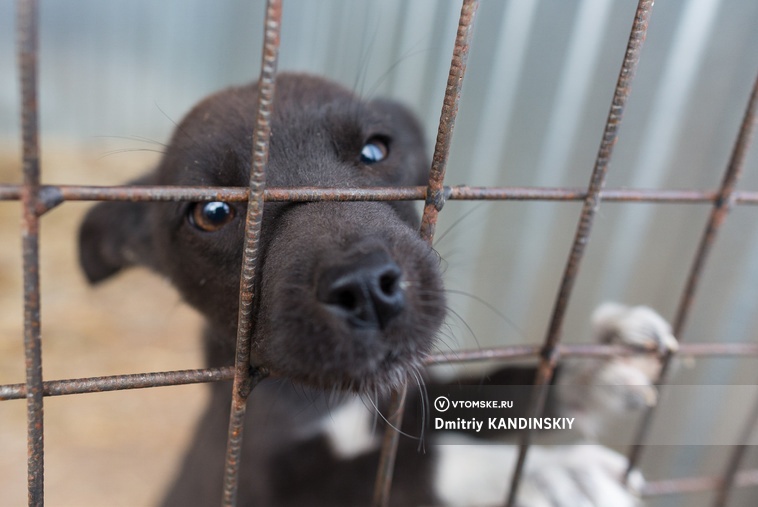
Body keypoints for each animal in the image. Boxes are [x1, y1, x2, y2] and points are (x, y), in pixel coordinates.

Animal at [80, 73, 672, 506]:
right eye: (214, 213)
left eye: (374, 151)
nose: (367, 287)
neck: (338, 401)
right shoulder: (269, 481)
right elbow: (411, 468)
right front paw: (545, 474)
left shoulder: (404, 398)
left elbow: (491, 389)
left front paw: (593, 365)